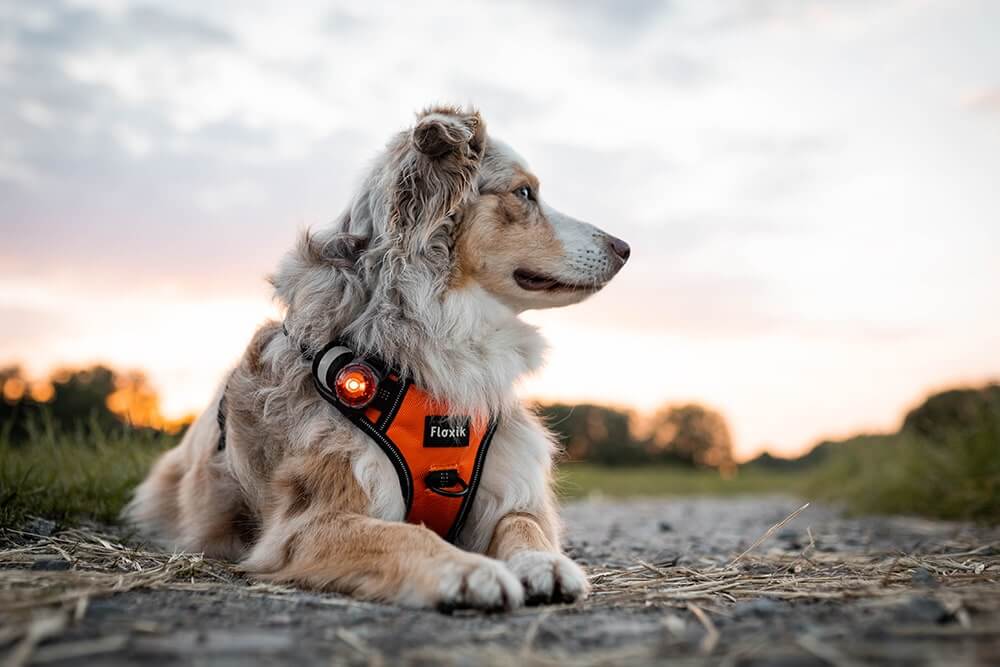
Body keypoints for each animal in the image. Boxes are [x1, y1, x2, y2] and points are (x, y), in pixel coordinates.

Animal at [123, 105, 624, 612]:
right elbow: (406, 536)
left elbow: (523, 524)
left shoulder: (507, 482)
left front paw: (546, 563)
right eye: (524, 193)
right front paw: (469, 571)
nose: (624, 248)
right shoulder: (310, 522)